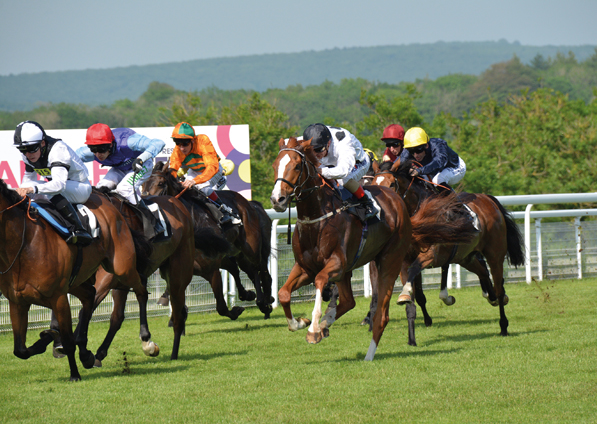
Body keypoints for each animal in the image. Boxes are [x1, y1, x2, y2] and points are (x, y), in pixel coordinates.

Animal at [0, 179, 148, 380]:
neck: (24, 245)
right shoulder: (17, 301)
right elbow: (20, 350)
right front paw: (48, 341)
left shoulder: (59, 298)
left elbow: (68, 341)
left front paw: (74, 374)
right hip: (76, 281)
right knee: (90, 295)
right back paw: (85, 353)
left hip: (122, 268)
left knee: (141, 291)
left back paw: (147, 339)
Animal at [143, 162, 274, 318]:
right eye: (142, 186)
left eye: (160, 183)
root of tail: (249, 203)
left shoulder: (212, 268)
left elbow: (221, 307)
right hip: (236, 253)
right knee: (244, 269)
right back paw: (254, 297)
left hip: (250, 246)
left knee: (258, 268)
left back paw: (265, 300)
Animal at [268, 137, 474, 362]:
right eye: (275, 165)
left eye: (297, 166)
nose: (277, 199)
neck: (318, 220)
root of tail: (397, 201)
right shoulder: (305, 267)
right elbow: (283, 293)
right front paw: (300, 323)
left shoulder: (336, 265)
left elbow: (321, 280)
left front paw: (313, 329)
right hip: (352, 270)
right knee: (349, 302)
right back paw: (327, 324)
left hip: (389, 262)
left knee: (381, 315)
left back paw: (368, 353)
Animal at [370, 159, 524, 344]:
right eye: (373, 184)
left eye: (392, 184)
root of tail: (489, 199)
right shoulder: (404, 260)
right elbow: (412, 301)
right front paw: (411, 338)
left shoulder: (431, 255)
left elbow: (415, 270)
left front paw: (406, 294)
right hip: (466, 257)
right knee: (483, 273)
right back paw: (490, 297)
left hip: (495, 254)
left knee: (499, 286)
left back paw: (503, 325)